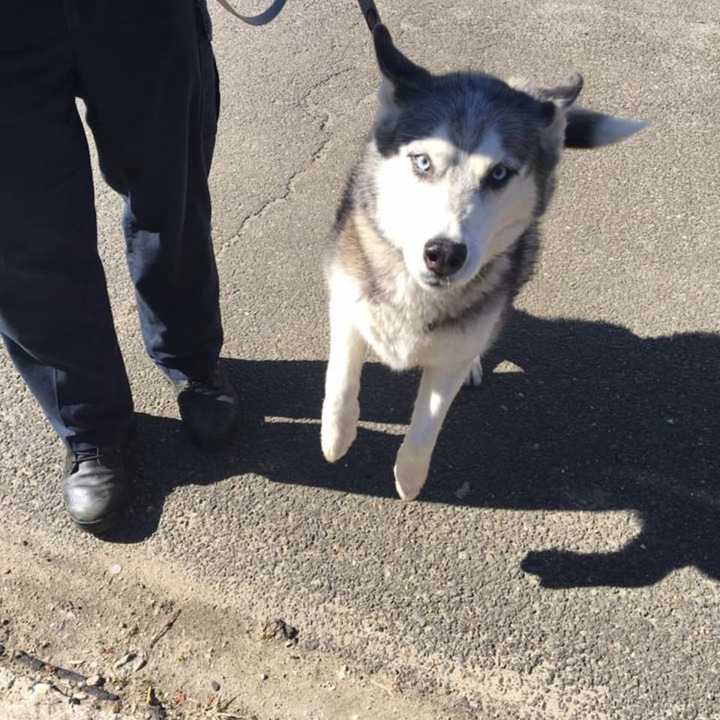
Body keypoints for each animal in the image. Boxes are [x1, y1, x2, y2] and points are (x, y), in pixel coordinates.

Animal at [320, 25, 648, 504]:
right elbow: (341, 379)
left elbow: (427, 426)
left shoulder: (449, 363)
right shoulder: (346, 299)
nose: (443, 253)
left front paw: (409, 477)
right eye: (422, 161)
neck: (415, 291)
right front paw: (336, 437)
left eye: (498, 174)